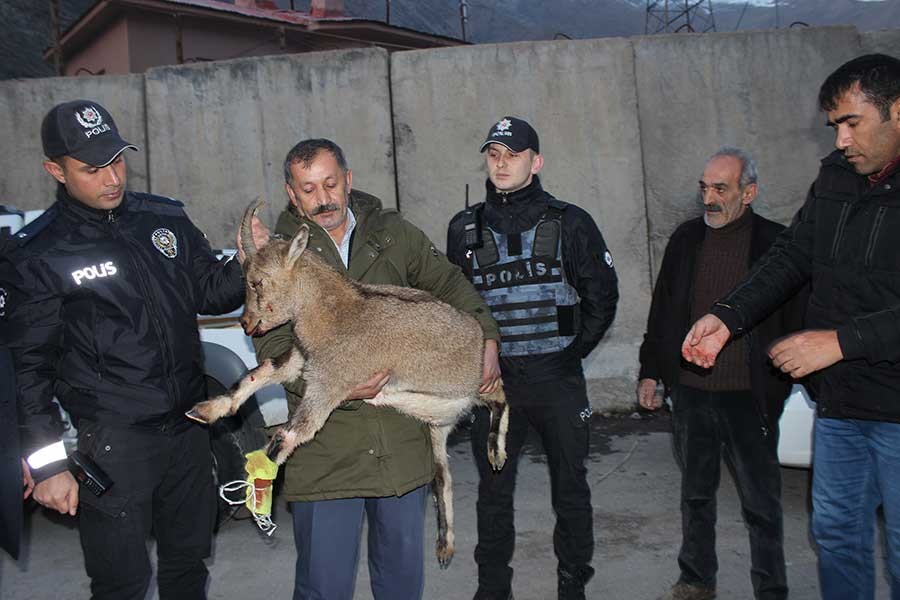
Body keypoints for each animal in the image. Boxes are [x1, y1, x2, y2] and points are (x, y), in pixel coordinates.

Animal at [185, 198, 506, 568]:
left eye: (256, 282)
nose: (247, 323)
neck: (334, 314)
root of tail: (477, 333)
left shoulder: (329, 384)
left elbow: (288, 435)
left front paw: (260, 496)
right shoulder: (302, 360)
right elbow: (259, 371)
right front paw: (205, 410)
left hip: (472, 384)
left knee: (501, 396)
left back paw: (496, 453)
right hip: (436, 424)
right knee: (442, 476)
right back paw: (444, 546)